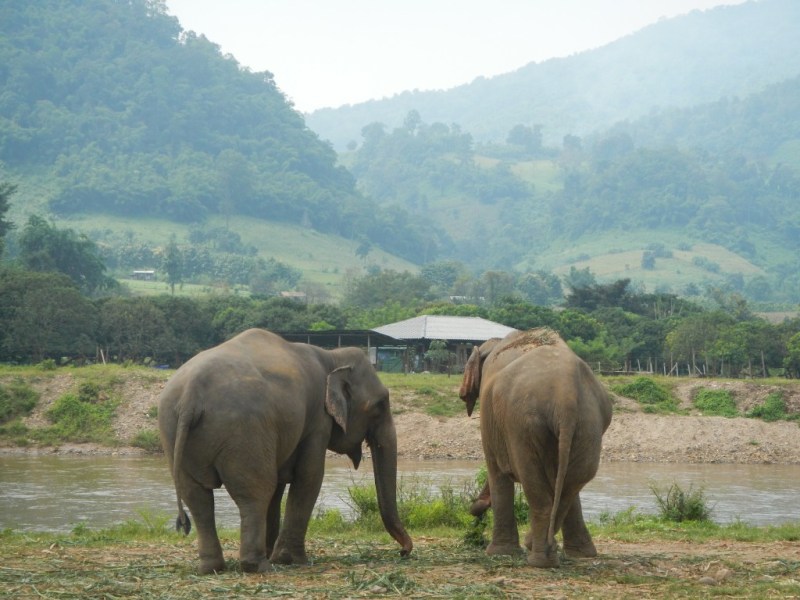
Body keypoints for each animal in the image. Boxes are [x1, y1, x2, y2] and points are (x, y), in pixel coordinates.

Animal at [158, 328, 412, 574]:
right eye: (380, 404)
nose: (403, 552)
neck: (332, 356)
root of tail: (191, 395)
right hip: (245, 432)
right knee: (255, 492)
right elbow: (309, 476)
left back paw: (212, 569)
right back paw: (258, 567)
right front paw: (290, 560)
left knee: (197, 497)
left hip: (173, 433)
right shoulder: (317, 420)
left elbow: (281, 486)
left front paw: (276, 554)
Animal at [458, 327, 612, 568]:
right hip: (588, 426)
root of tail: (566, 394)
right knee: (572, 481)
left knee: (534, 480)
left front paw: (499, 553)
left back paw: (537, 557)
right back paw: (567, 552)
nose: (475, 509)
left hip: (522, 425)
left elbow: (495, 469)